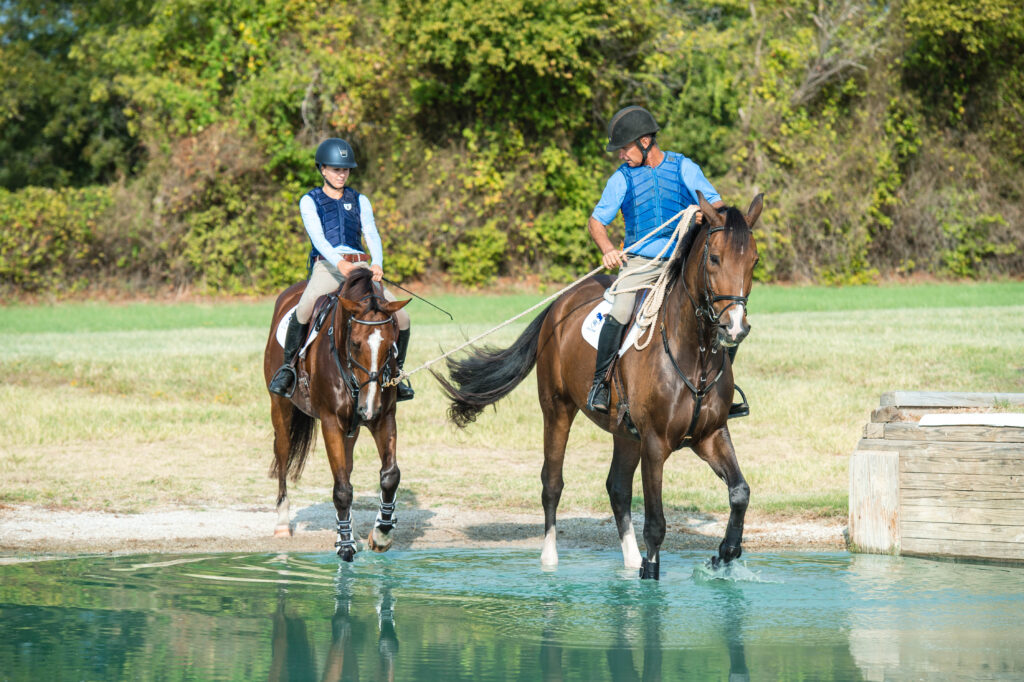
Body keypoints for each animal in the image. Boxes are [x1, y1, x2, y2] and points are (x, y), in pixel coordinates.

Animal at [263, 268, 410, 561]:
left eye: (391, 345)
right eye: (355, 344)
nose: (368, 408)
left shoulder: (385, 418)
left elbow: (390, 476)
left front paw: (381, 534)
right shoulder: (331, 423)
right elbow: (341, 489)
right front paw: (346, 546)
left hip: (352, 429)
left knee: (348, 469)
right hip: (280, 407)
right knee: (283, 455)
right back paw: (283, 523)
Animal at [436, 191, 763, 579]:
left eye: (754, 261)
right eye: (714, 258)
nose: (735, 327)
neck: (693, 354)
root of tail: (559, 303)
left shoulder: (710, 434)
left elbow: (740, 492)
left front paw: (726, 552)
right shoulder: (655, 443)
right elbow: (656, 523)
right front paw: (651, 574)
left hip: (625, 432)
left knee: (617, 488)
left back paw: (630, 562)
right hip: (557, 410)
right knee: (552, 483)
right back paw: (550, 559)